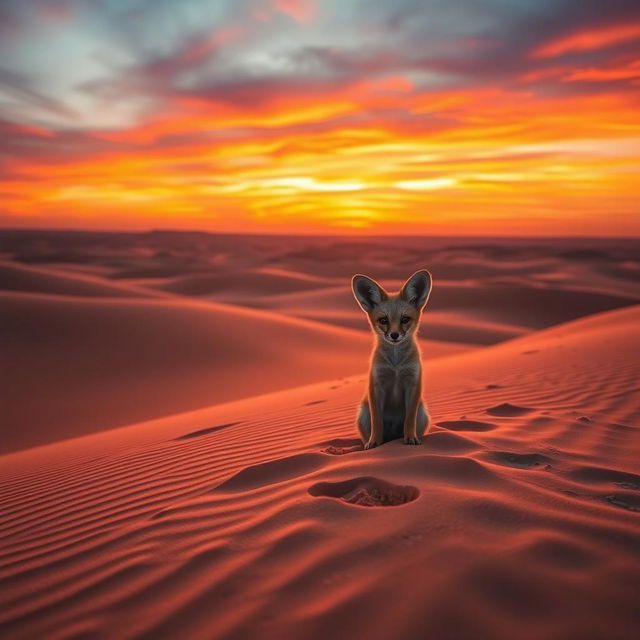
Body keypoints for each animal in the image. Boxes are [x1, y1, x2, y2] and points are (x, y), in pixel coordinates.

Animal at [352, 272, 432, 450]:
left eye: (405, 319)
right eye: (383, 320)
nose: (394, 335)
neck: (396, 366)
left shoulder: (413, 382)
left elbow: (409, 419)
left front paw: (410, 438)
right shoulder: (377, 384)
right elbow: (377, 421)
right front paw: (374, 442)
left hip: (423, 414)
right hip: (363, 414)